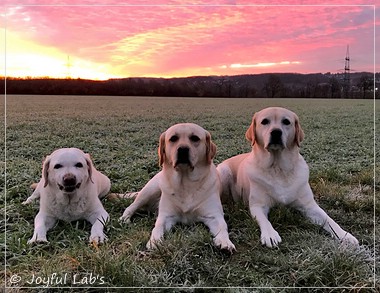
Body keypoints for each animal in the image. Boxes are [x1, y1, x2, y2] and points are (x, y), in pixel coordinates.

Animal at [120, 122, 236, 251]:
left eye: (195, 138)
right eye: (173, 138)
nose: (183, 150)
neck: (185, 183)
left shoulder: (214, 215)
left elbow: (223, 226)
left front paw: (225, 241)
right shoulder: (166, 216)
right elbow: (157, 226)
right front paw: (154, 241)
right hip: (149, 191)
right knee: (131, 206)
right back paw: (124, 219)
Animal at [217, 106, 360, 246]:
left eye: (286, 122)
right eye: (264, 121)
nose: (276, 132)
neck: (278, 168)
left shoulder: (310, 206)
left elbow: (329, 220)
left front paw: (345, 235)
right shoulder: (258, 205)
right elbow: (265, 221)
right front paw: (270, 235)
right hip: (224, 172)